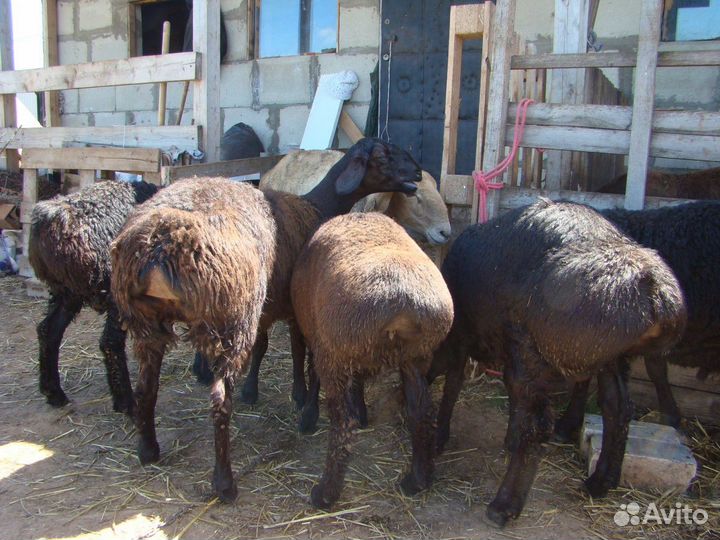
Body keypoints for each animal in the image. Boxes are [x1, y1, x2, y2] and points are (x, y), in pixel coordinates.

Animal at [28, 179, 158, 413]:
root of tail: (52, 219)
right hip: (115, 289)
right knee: (110, 342)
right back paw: (125, 403)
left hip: (66, 290)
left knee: (48, 329)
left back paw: (54, 393)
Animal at [110, 138, 422, 501]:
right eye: (384, 154)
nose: (418, 172)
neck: (317, 206)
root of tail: (162, 245)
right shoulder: (297, 308)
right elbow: (302, 353)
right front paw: (303, 401)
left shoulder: (271, 308)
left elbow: (267, 348)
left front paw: (259, 390)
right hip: (233, 315)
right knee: (220, 400)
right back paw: (225, 484)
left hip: (147, 321)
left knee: (146, 388)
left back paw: (148, 450)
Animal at [290, 212, 454, 509]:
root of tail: (402, 304)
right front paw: (362, 407)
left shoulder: (320, 341)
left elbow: (313, 374)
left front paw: (308, 415)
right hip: (416, 357)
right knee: (421, 413)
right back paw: (417, 480)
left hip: (336, 354)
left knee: (344, 424)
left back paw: (325, 494)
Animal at [427, 199, 686, 527]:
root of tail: (652, 289)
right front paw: (508, 439)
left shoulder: (467, 340)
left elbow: (453, 386)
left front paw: (439, 437)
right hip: (611, 357)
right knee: (618, 408)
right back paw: (600, 482)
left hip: (535, 349)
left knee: (540, 425)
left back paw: (504, 506)